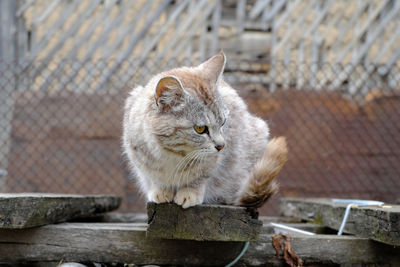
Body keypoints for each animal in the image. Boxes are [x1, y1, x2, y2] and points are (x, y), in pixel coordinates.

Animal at [122, 51, 288, 209]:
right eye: (200, 129)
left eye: (223, 122)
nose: (221, 146)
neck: (170, 152)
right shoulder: (138, 157)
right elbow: (153, 176)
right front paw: (161, 190)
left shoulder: (217, 158)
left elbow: (201, 175)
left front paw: (190, 192)